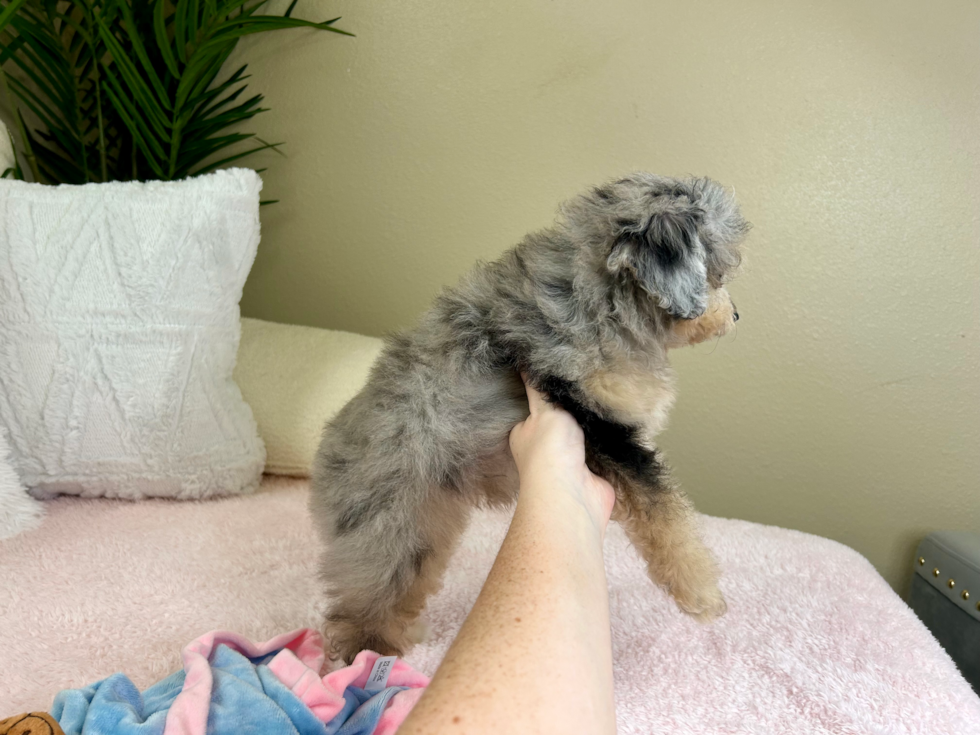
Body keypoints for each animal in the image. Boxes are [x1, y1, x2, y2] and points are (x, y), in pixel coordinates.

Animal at [314, 172, 752, 660]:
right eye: (715, 276)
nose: (736, 315)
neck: (600, 300)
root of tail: (327, 453)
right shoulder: (596, 422)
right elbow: (665, 512)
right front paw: (701, 592)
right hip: (389, 527)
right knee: (358, 609)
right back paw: (369, 657)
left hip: (425, 525)